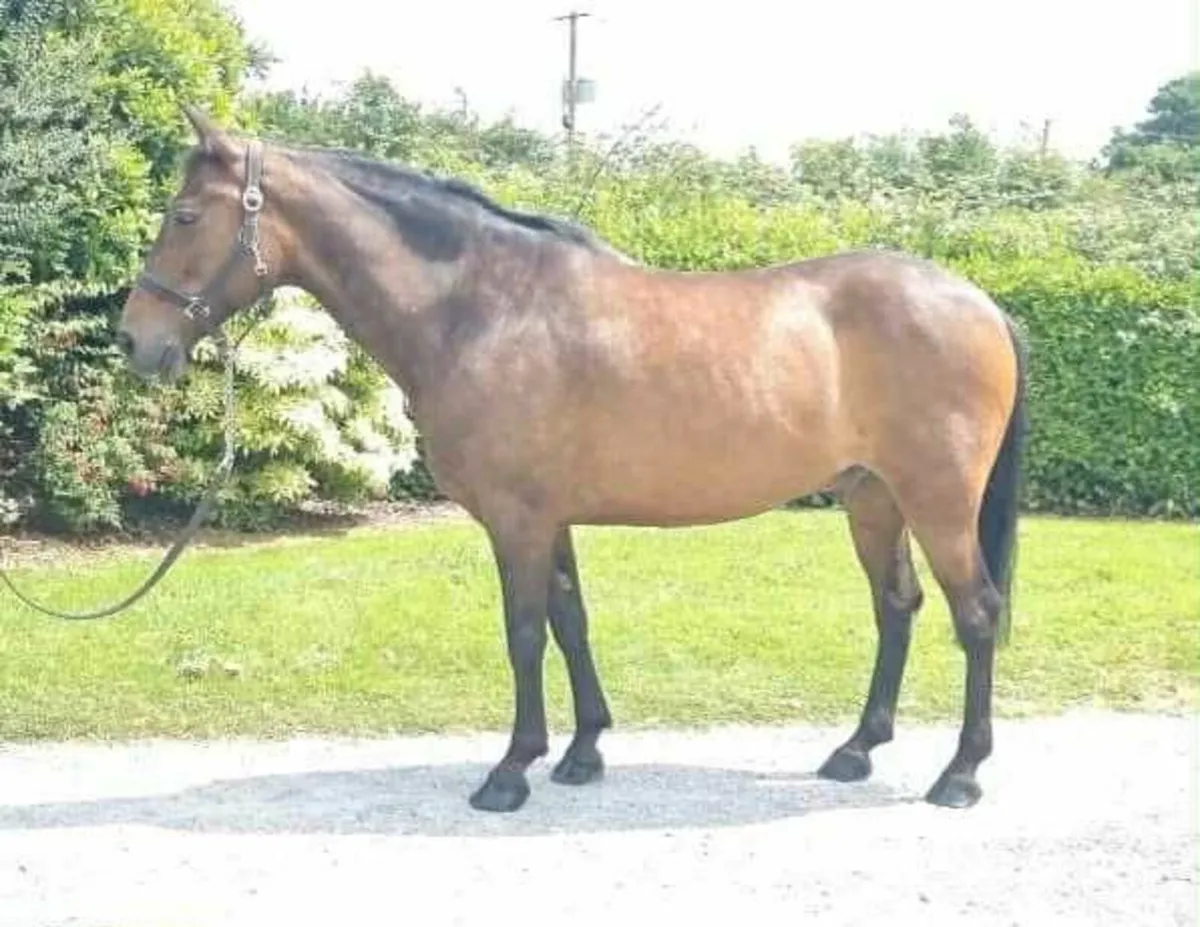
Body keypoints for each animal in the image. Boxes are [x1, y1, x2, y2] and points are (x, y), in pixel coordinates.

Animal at [116, 106, 1027, 814]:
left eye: (185, 216)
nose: (136, 341)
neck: (484, 307)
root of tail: (980, 303)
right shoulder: (548, 517)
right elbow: (570, 620)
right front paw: (583, 752)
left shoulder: (516, 519)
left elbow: (524, 633)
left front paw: (510, 771)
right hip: (873, 498)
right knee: (897, 606)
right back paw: (855, 750)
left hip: (937, 503)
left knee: (976, 613)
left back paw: (960, 775)